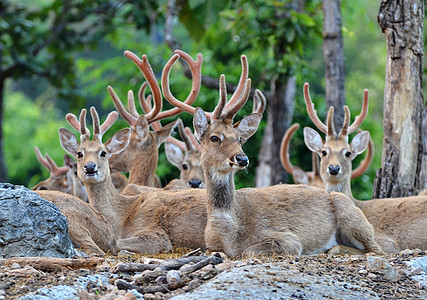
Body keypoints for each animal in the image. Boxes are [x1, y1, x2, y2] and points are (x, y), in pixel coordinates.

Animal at [59, 106, 208, 254]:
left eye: (103, 152)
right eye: (79, 153)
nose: (90, 167)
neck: (122, 218)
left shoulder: (155, 232)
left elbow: (115, 244)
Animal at [160, 52, 384, 256]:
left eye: (239, 138)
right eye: (214, 138)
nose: (242, 159)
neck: (229, 229)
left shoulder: (288, 238)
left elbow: (249, 251)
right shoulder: (210, 245)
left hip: (350, 213)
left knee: (376, 249)